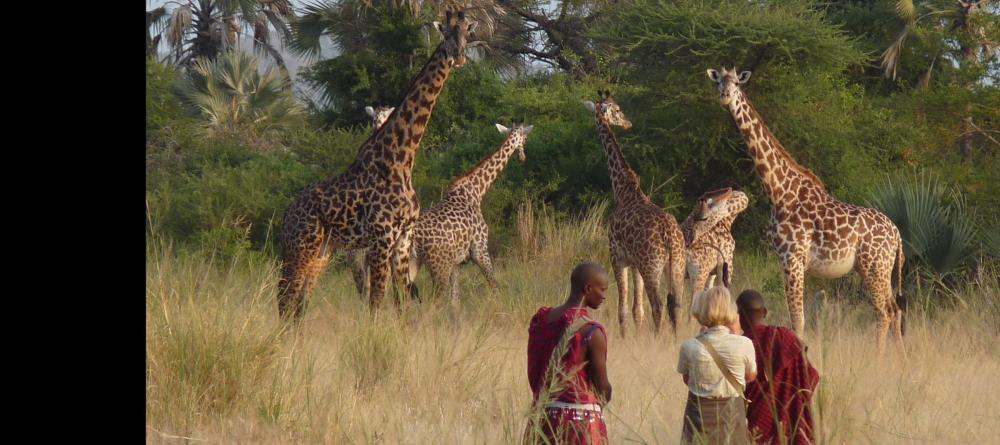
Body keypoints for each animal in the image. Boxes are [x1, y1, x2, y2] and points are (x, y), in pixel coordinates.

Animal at [274, 10, 476, 320]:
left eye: (467, 31)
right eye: (445, 33)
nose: (459, 56)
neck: (401, 160)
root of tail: (287, 213)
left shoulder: (403, 240)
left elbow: (402, 304)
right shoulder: (382, 238)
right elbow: (376, 302)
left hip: (322, 251)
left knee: (299, 302)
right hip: (301, 246)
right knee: (285, 298)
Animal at [404, 119, 536, 304]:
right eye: (525, 138)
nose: (523, 157)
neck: (476, 191)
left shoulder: (457, 263)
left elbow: (455, 300)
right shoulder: (480, 250)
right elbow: (495, 286)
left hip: (412, 261)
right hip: (438, 265)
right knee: (435, 300)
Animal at [580, 90, 688, 334]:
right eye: (618, 109)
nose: (628, 123)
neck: (623, 189)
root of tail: (670, 236)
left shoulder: (617, 257)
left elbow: (623, 309)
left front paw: (624, 336)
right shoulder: (635, 263)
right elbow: (637, 310)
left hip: (652, 267)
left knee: (658, 305)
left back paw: (657, 338)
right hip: (676, 265)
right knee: (676, 305)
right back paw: (675, 338)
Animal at [708, 67, 912, 350]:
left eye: (737, 83)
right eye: (718, 82)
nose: (725, 97)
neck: (779, 191)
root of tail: (896, 235)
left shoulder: (792, 258)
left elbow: (798, 319)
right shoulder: (786, 260)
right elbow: (796, 317)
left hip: (875, 266)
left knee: (885, 311)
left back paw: (880, 355)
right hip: (876, 268)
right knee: (895, 309)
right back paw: (900, 356)